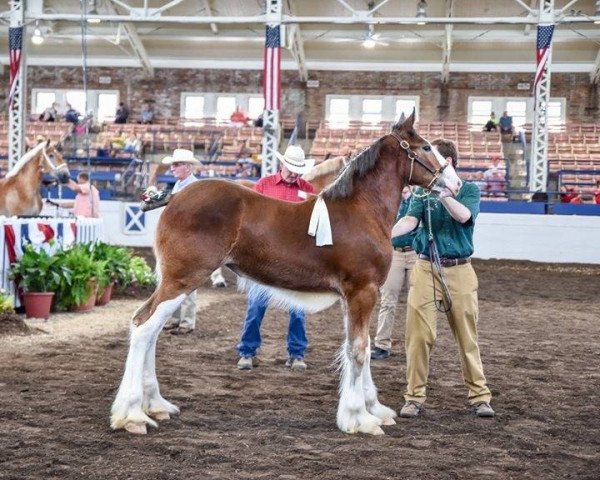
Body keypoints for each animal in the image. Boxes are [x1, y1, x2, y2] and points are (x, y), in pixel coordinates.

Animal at [110, 114, 462, 436]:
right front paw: (359, 418)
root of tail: (175, 197)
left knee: (149, 329)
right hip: (183, 279)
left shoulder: (356, 295)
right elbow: (359, 350)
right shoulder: (363, 291)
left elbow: (356, 347)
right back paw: (133, 415)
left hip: (176, 282)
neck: (360, 210)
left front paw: (374, 409)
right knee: (144, 327)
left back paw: (155, 405)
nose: (456, 184)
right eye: (426, 147)